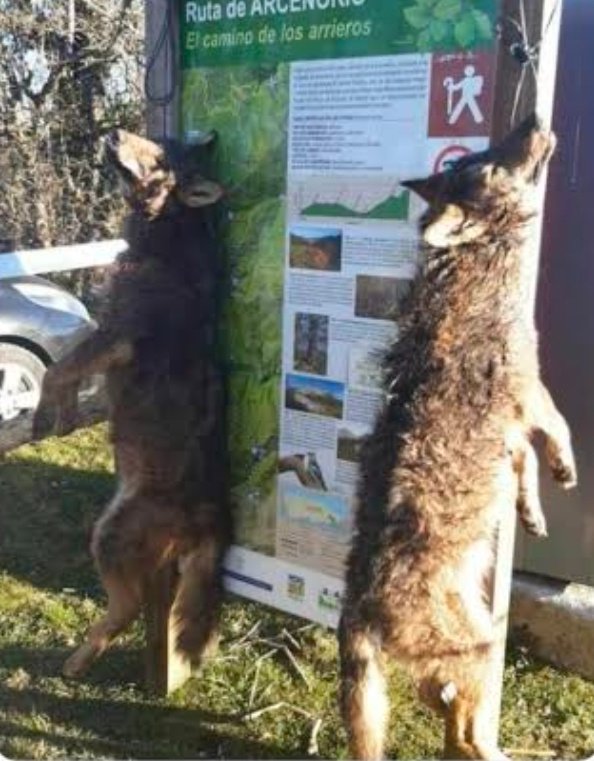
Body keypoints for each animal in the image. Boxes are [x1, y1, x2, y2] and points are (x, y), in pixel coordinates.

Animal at [33, 129, 231, 678]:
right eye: (163, 138)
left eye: (160, 158)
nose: (116, 133)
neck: (167, 235)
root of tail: (213, 519)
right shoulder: (102, 335)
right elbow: (67, 372)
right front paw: (65, 415)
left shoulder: (114, 336)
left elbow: (56, 370)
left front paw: (44, 416)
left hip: (109, 536)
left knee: (126, 609)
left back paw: (75, 662)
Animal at [339, 115, 576, 760]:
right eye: (490, 165)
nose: (533, 120)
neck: (478, 259)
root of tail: (357, 605)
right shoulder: (530, 387)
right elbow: (559, 428)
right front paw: (566, 468)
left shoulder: (511, 428)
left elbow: (523, 465)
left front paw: (533, 511)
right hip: (481, 651)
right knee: (468, 727)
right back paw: (496, 752)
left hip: (462, 652)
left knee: (440, 704)